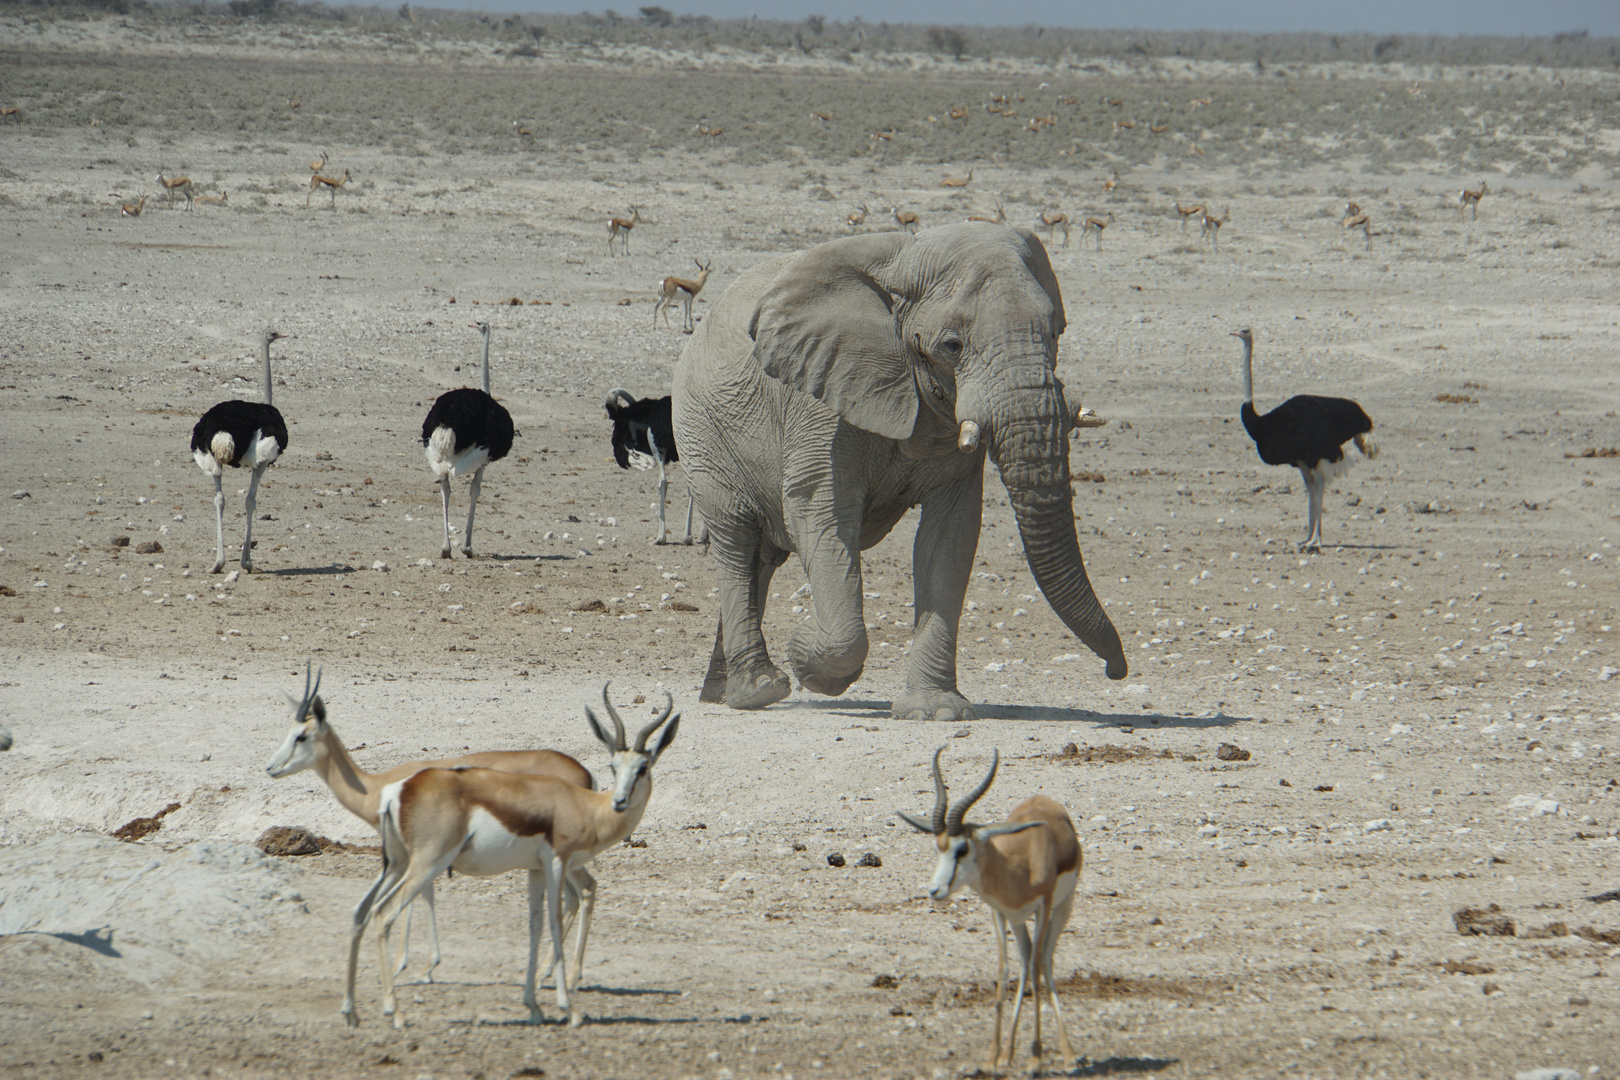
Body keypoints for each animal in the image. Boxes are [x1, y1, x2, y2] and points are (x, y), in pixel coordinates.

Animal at [265, 667, 602, 990]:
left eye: (301, 736)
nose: (270, 767)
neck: (376, 788)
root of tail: (586, 777)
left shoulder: (420, 853)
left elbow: (417, 897)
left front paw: (413, 967)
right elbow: (423, 895)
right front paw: (423, 966)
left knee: (582, 891)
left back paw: (561, 975)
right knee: (577, 894)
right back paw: (553, 973)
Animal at [345, 683, 680, 1029]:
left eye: (642, 768)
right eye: (614, 766)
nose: (619, 801)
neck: (583, 807)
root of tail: (399, 791)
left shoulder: (536, 870)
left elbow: (535, 926)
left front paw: (534, 1007)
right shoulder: (557, 863)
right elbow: (554, 923)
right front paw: (568, 1009)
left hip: (398, 865)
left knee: (362, 911)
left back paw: (352, 1011)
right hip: (426, 864)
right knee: (382, 915)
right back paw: (395, 1011)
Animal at [670, 223, 1127, 722]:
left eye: (1056, 331)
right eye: (951, 346)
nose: (1116, 670)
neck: (906, 260)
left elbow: (950, 535)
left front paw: (936, 711)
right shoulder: (819, 399)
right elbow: (821, 514)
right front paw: (806, 654)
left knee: (761, 560)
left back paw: (723, 692)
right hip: (701, 432)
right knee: (737, 541)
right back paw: (760, 690)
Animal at [907, 751, 1082, 1075]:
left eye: (962, 848)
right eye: (939, 847)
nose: (935, 890)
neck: (1020, 867)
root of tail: (1045, 800)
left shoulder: (1044, 906)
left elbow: (1038, 967)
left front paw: (1036, 1058)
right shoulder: (1000, 913)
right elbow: (1003, 969)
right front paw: (993, 1057)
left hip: (1062, 908)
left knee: (1043, 961)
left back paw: (1067, 1054)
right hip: (1019, 920)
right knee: (1026, 962)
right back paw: (1009, 1054)